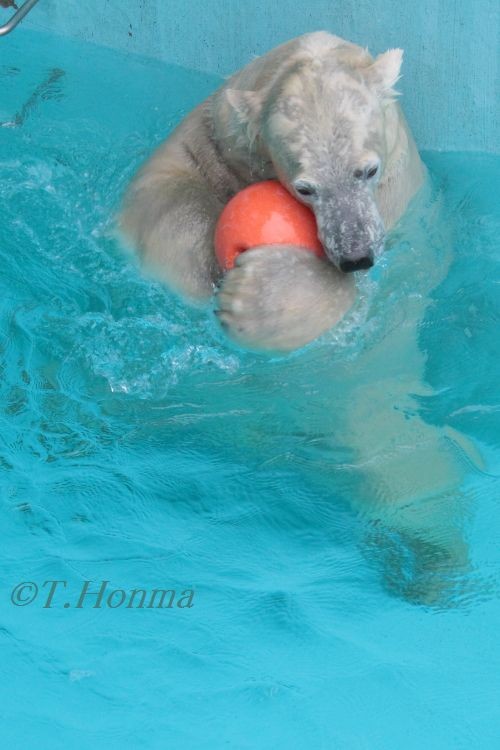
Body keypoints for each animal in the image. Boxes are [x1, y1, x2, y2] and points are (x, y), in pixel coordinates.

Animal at [121, 32, 426, 352]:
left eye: (369, 170)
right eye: (304, 189)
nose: (356, 257)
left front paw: (254, 294)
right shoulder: (221, 135)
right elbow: (166, 182)